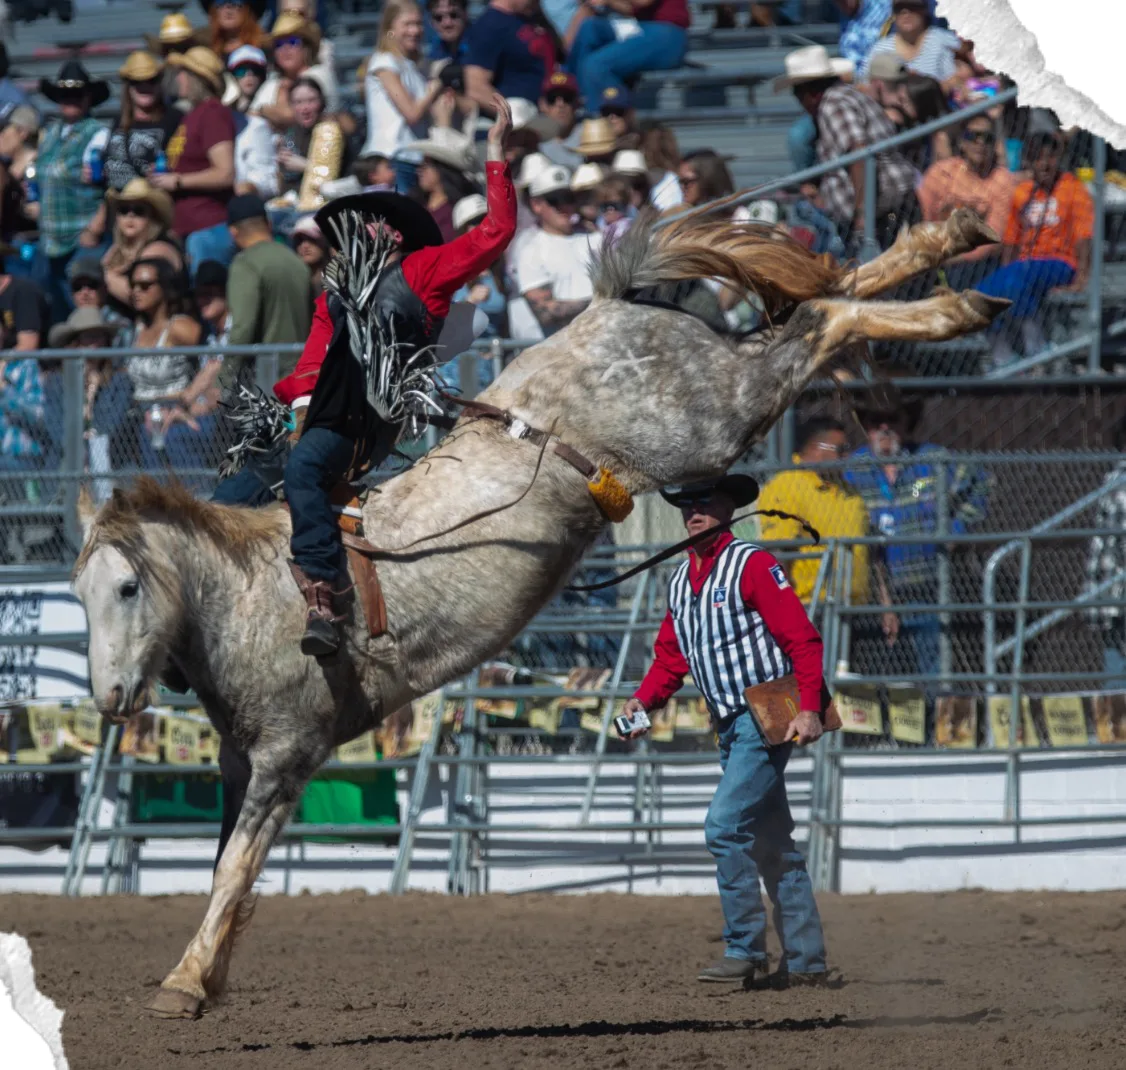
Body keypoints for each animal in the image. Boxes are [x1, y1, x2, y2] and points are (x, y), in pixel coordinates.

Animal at [73, 207, 1006, 1019]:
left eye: (127, 589)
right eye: (79, 593)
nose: (112, 698)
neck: (249, 595)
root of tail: (606, 313)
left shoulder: (285, 759)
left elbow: (233, 870)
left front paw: (183, 984)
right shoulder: (240, 767)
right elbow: (225, 869)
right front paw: (210, 973)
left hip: (715, 418)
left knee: (818, 322)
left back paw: (956, 300)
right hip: (722, 401)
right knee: (821, 295)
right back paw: (951, 252)